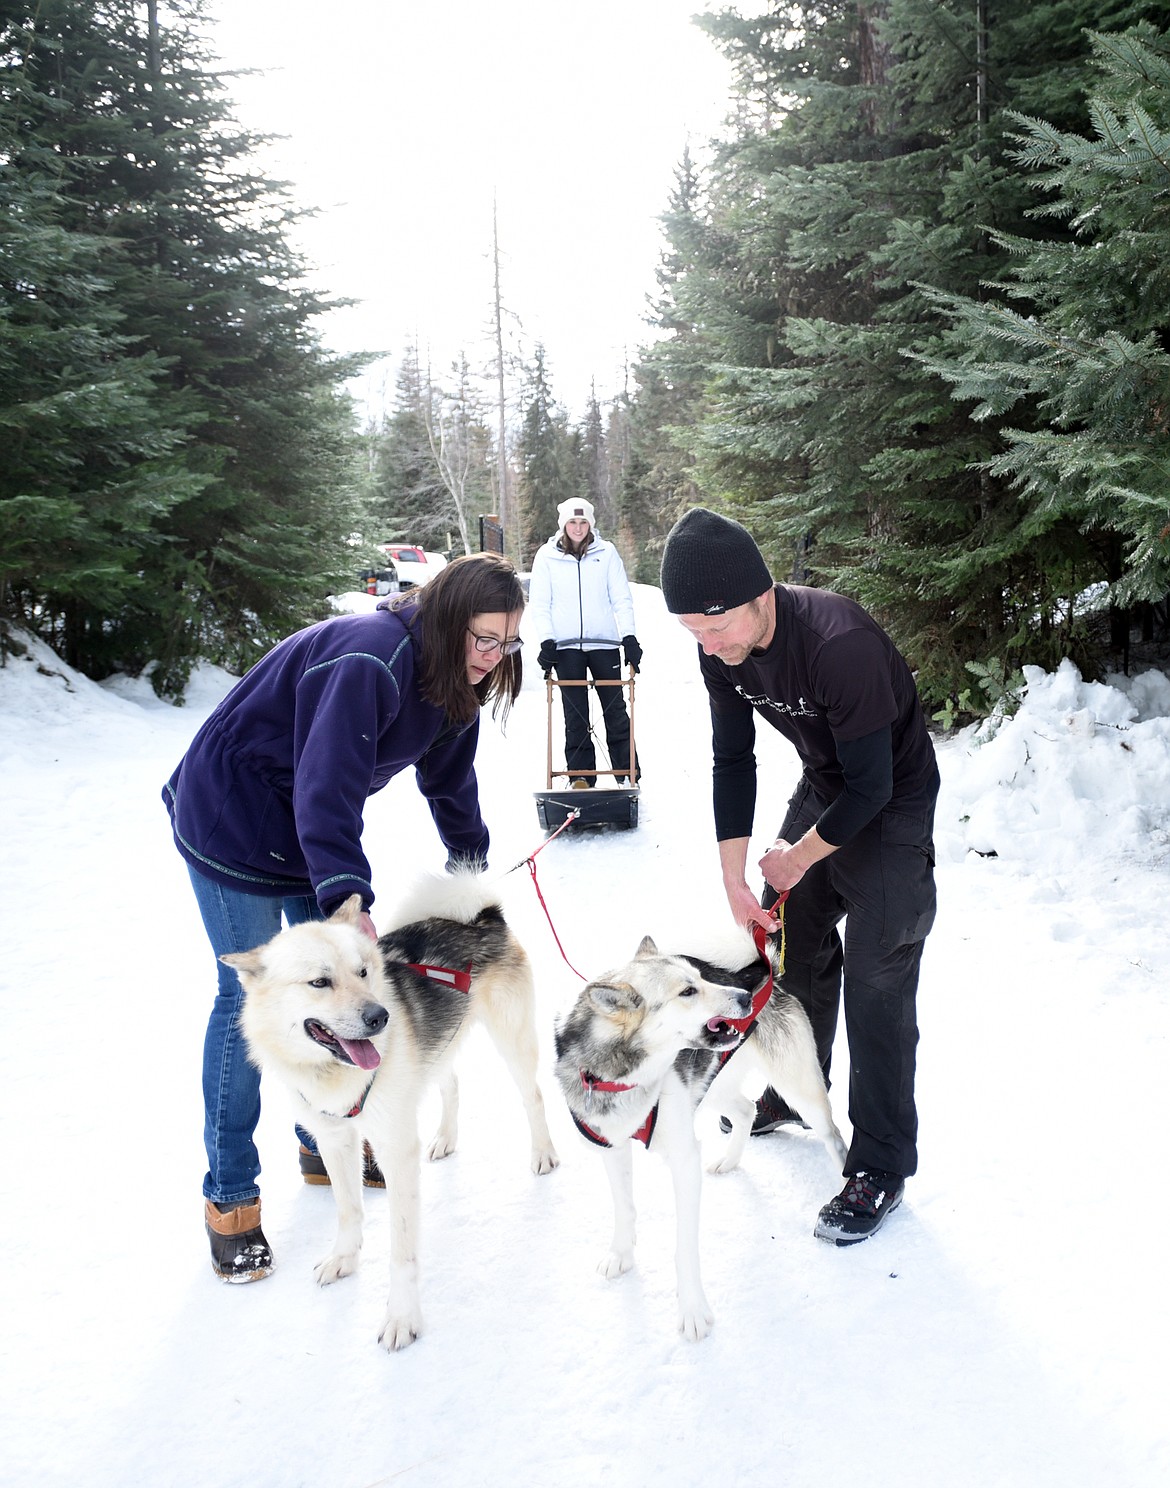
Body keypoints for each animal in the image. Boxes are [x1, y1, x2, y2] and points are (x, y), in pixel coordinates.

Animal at [230, 874, 559, 1357]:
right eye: (319, 982)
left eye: (363, 972)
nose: (380, 1016)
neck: (335, 1075)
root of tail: (481, 916)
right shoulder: (334, 1139)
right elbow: (348, 1210)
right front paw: (344, 1258)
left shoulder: (396, 1149)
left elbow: (402, 1254)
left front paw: (402, 1318)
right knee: (451, 1084)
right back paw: (445, 1138)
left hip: (512, 1040)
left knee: (532, 1096)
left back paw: (542, 1153)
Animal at [553, 928, 839, 1339]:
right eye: (688, 991)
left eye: (701, 979)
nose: (744, 998)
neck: (623, 1077)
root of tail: (761, 971)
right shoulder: (613, 1148)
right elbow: (625, 1209)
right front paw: (621, 1254)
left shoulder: (684, 1160)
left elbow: (684, 1248)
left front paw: (692, 1310)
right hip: (711, 1084)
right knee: (746, 1110)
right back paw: (730, 1160)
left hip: (799, 1090)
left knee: (834, 1135)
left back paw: (847, 1183)